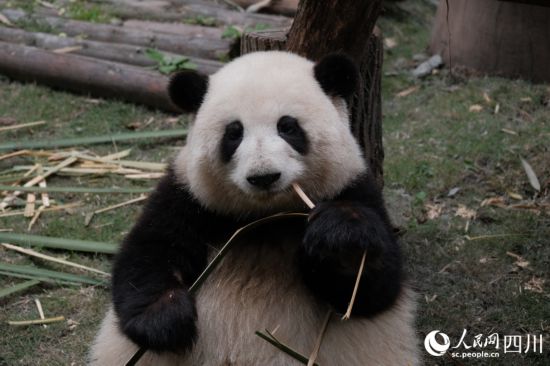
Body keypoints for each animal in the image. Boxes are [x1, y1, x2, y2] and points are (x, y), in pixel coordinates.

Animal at [89, 50, 418, 364]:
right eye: (234, 133)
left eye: (288, 127)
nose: (264, 177)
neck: (266, 217)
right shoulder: (189, 199)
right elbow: (149, 254)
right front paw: (167, 319)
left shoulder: (354, 187)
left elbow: (371, 291)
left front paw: (340, 239)